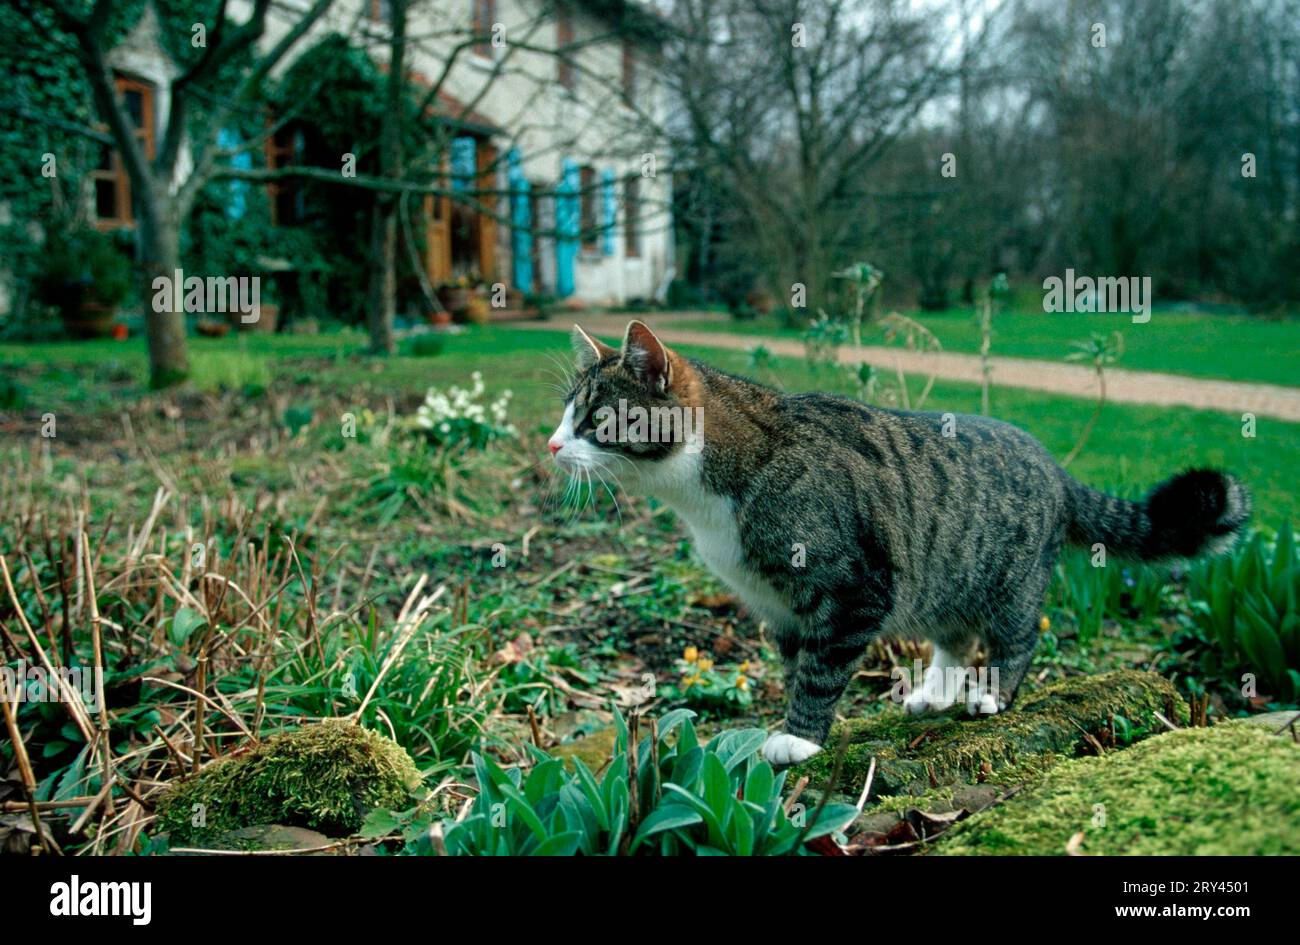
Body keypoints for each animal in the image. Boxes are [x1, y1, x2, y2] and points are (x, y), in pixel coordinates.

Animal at [548, 321, 1248, 764]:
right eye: (565, 414)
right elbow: (797, 665)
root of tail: (1054, 467)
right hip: (943, 576)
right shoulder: (779, 607)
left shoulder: (855, 587)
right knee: (955, 635)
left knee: (1018, 636)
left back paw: (991, 693)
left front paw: (801, 737)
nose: (552, 444)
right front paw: (793, 721)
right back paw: (936, 692)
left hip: (1007, 581)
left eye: (596, 418)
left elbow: (821, 671)